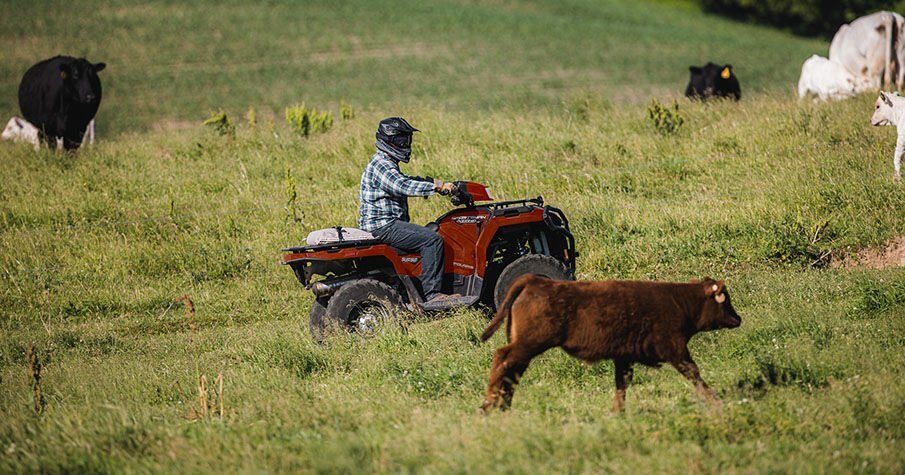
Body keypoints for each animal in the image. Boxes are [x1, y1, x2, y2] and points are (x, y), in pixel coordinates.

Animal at [480, 276, 740, 412]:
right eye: (725, 299)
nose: (738, 318)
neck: (679, 301)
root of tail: (538, 281)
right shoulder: (675, 349)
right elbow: (693, 373)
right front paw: (715, 399)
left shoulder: (624, 357)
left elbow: (621, 384)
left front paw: (618, 412)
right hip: (529, 343)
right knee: (502, 359)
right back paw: (489, 405)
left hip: (525, 347)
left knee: (512, 370)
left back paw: (503, 405)